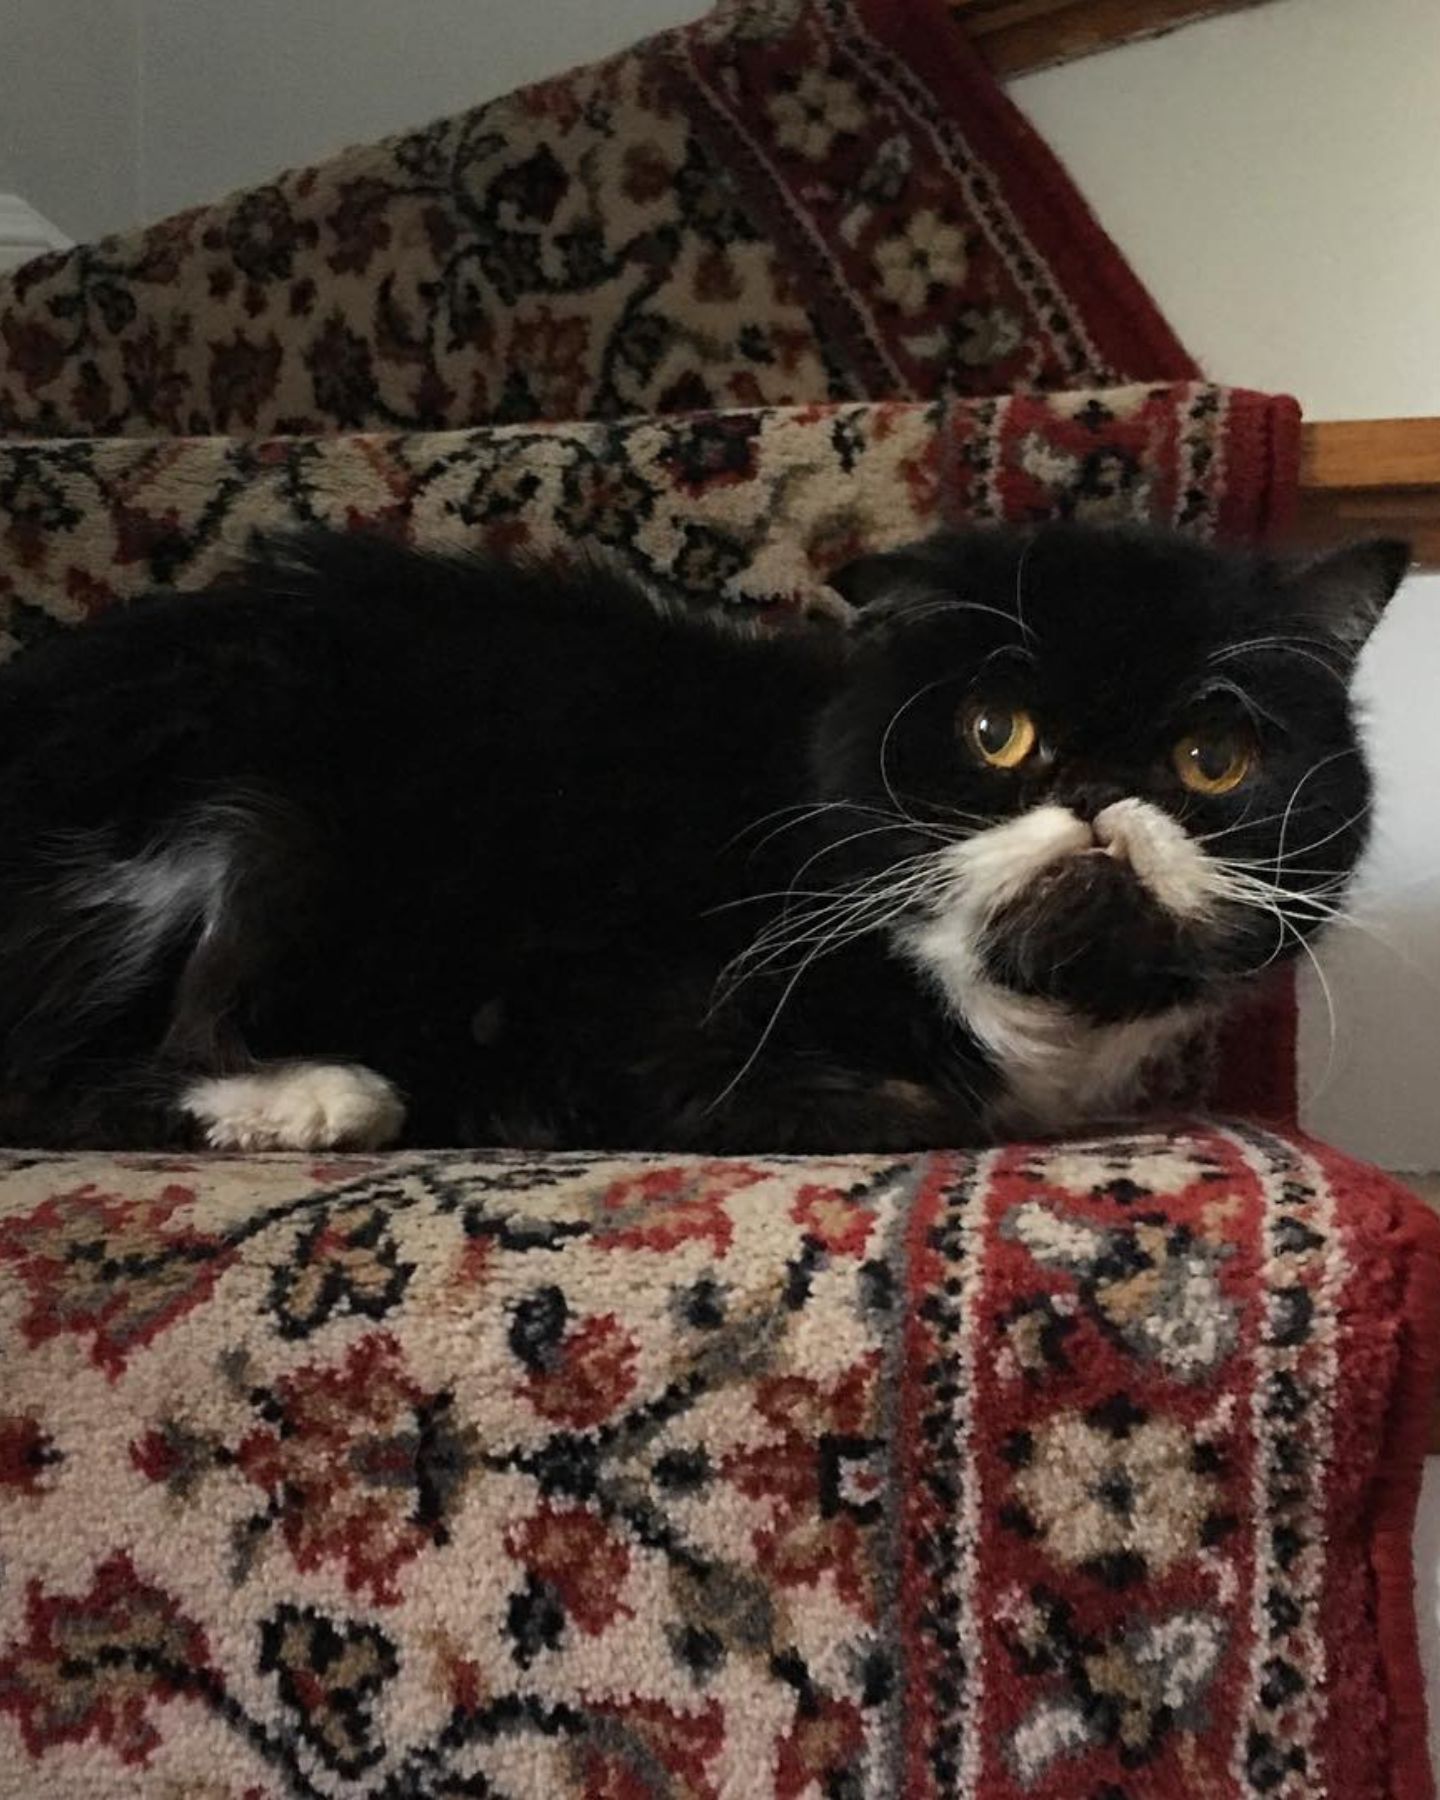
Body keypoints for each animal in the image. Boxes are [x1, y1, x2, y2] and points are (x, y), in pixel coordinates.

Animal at [0, 522, 1404, 1152]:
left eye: (1213, 759)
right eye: (997, 731)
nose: (1104, 792)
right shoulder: (606, 1003)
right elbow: (908, 1108)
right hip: (260, 813)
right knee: (72, 1074)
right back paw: (317, 1098)